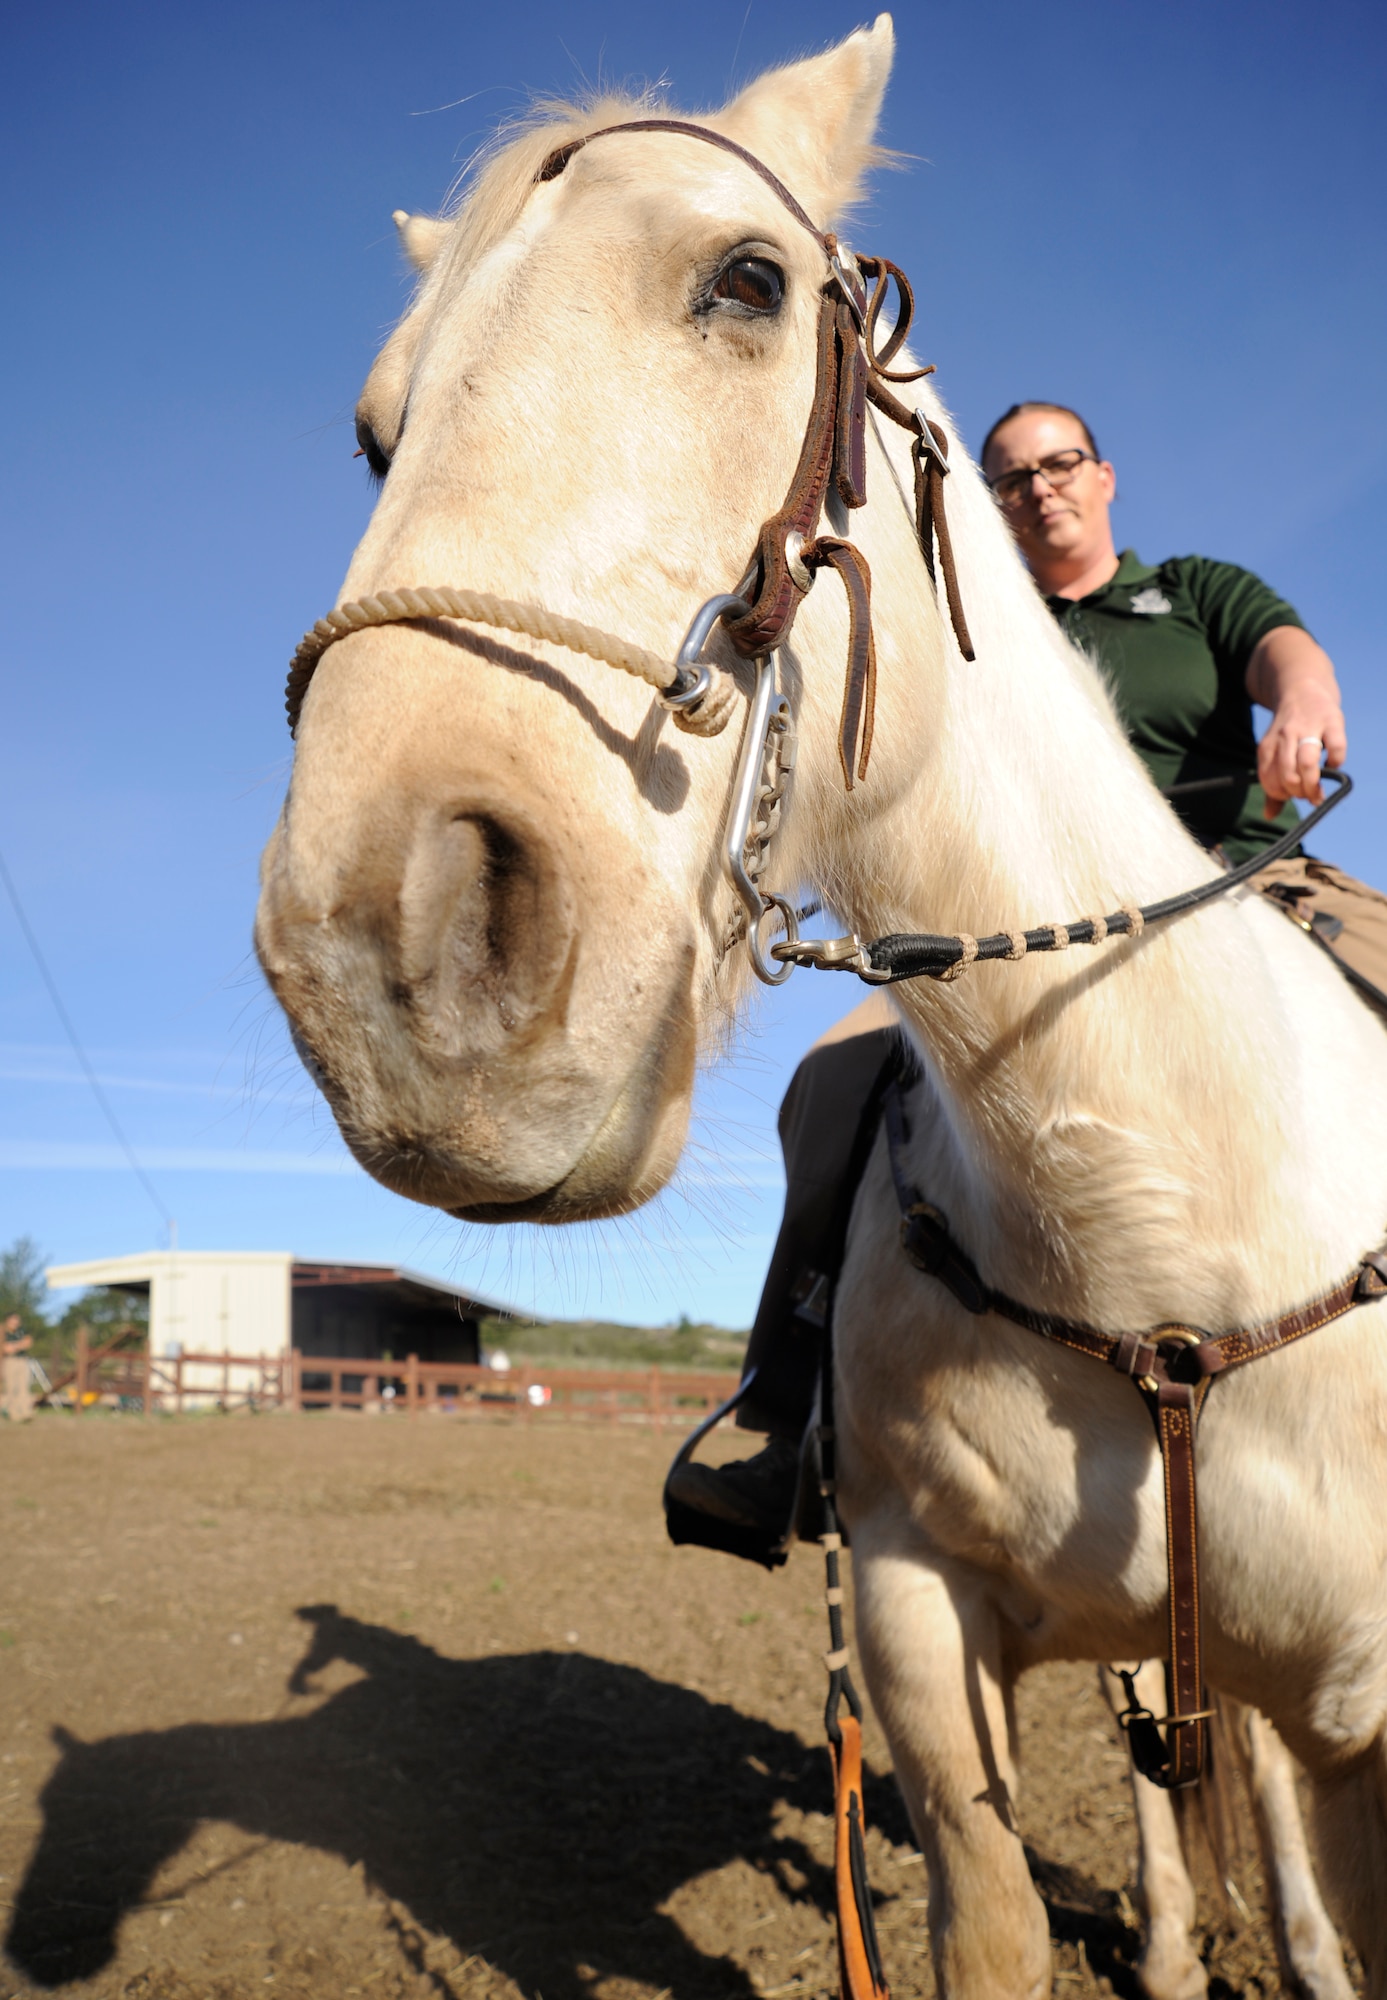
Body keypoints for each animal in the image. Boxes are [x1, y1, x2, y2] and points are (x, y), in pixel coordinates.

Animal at [255, 19, 1387, 1995]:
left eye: (746, 282)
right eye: (377, 430)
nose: (390, 947)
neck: (1154, 1213)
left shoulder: (1363, 1730)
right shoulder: (923, 1636)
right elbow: (996, 1907)